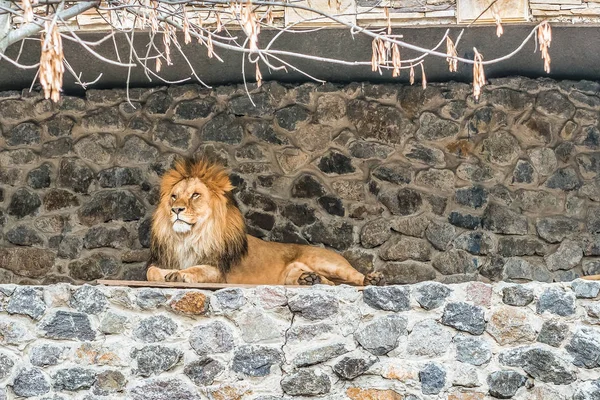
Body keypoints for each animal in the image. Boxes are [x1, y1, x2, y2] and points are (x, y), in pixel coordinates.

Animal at [144, 158, 384, 286]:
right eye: (174, 196)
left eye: (195, 195)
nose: (176, 209)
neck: (188, 237)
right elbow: (151, 272)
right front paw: (168, 274)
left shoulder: (218, 272)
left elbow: (197, 270)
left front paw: (180, 274)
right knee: (331, 284)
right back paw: (310, 280)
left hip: (326, 262)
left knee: (350, 277)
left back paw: (372, 280)